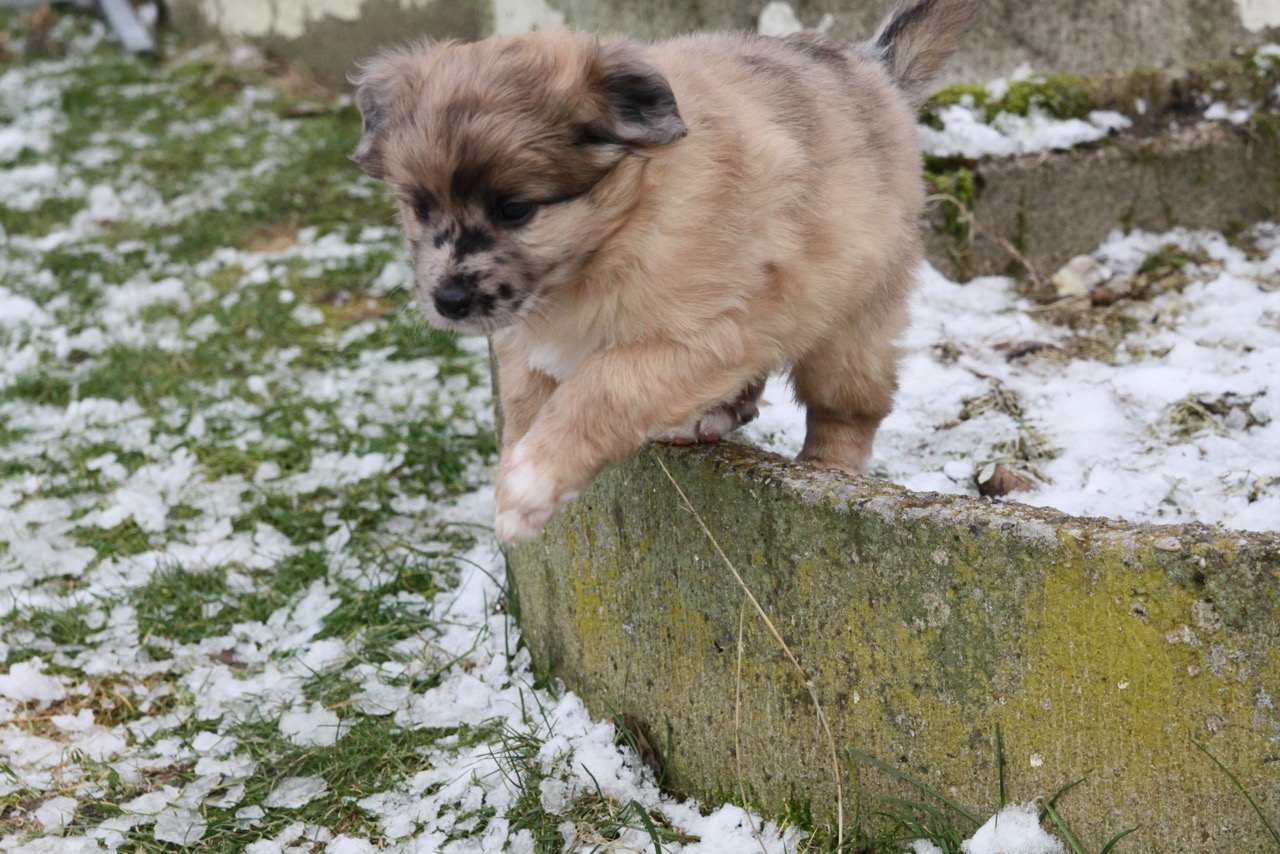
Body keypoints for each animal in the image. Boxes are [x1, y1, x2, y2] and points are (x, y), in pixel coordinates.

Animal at [352, 0, 979, 543]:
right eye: (420, 208)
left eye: (515, 210)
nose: (449, 300)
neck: (614, 234)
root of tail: (876, 69)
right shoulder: (526, 340)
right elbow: (525, 401)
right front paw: (515, 470)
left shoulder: (699, 333)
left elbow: (601, 387)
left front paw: (528, 488)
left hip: (851, 322)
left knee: (848, 409)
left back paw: (828, 470)